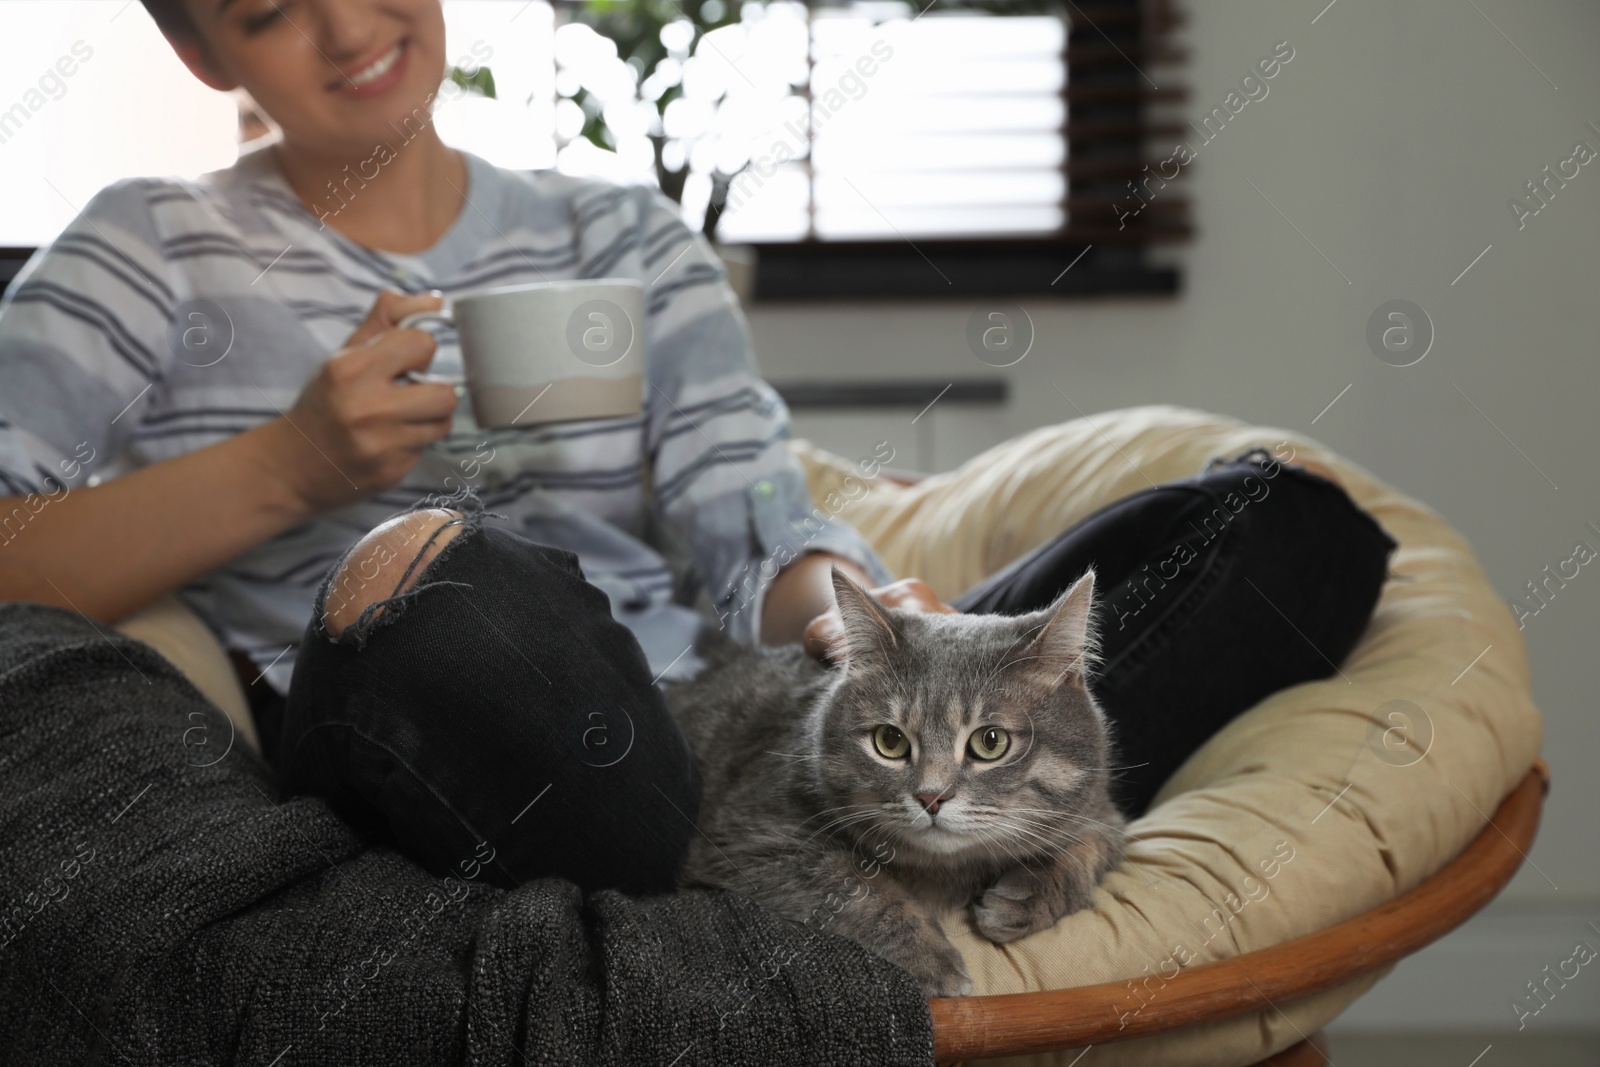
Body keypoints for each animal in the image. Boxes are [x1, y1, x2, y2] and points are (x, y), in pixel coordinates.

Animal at [662, 572, 1126, 998]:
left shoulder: (1102, 813)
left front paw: (1024, 898)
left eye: (990, 742)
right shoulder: (750, 837)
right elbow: (855, 884)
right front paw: (931, 957)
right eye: (890, 740)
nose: (931, 796)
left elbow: (1085, 851)